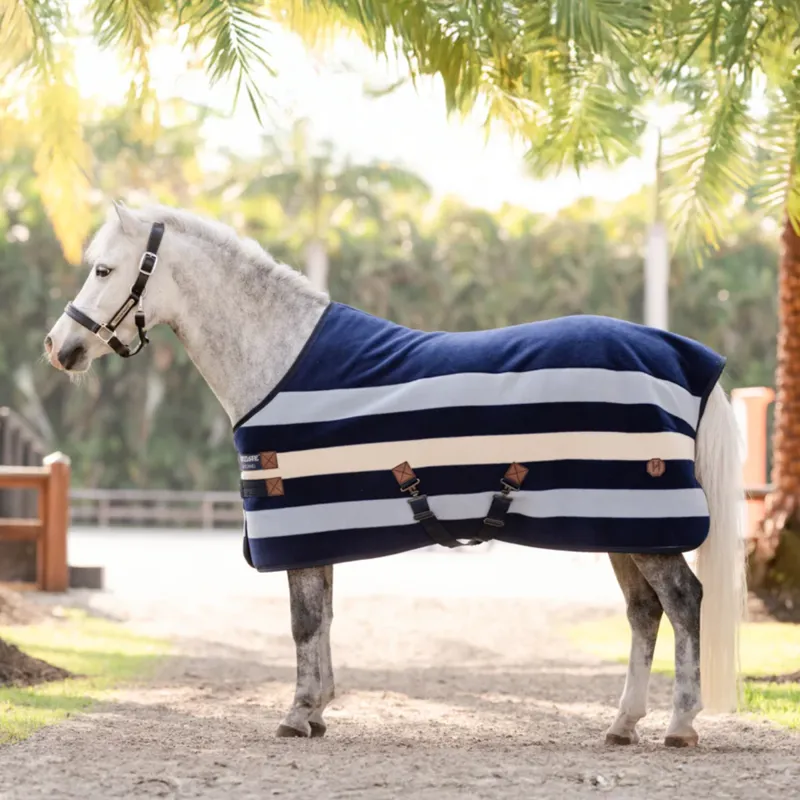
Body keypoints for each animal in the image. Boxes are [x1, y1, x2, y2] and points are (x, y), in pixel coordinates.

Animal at [44, 202, 746, 748]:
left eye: (104, 269)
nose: (59, 348)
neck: (281, 358)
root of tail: (685, 358)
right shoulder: (315, 531)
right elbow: (324, 617)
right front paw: (318, 711)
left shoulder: (296, 526)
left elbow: (303, 622)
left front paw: (297, 715)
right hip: (621, 527)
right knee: (643, 613)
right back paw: (623, 724)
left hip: (646, 528)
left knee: (682, 602)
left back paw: (680, 725)